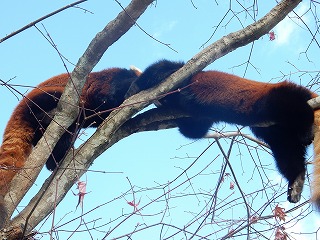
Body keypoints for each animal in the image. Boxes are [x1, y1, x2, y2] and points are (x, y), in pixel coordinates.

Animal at [126, 59, 318, 206]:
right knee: (287, 153)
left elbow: (161, 69)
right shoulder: (199, 116)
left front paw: (135, 86)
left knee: (294, 106)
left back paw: (306, 130)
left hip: (273, 97)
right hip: (276, 130)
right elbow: (194, 130)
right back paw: (296, 180)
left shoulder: (183, 77)